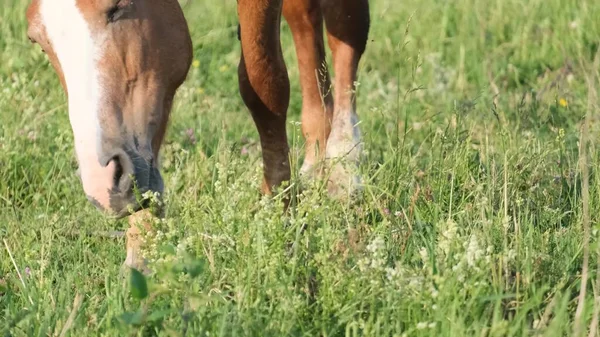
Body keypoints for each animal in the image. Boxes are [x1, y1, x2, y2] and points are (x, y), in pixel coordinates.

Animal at [27, 0, 370, 270]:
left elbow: (264, 83)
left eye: (118, 6)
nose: (103, 186)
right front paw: (143, 248)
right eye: (38, 41)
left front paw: (280, 210)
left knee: (346, 26)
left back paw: (343, 165)